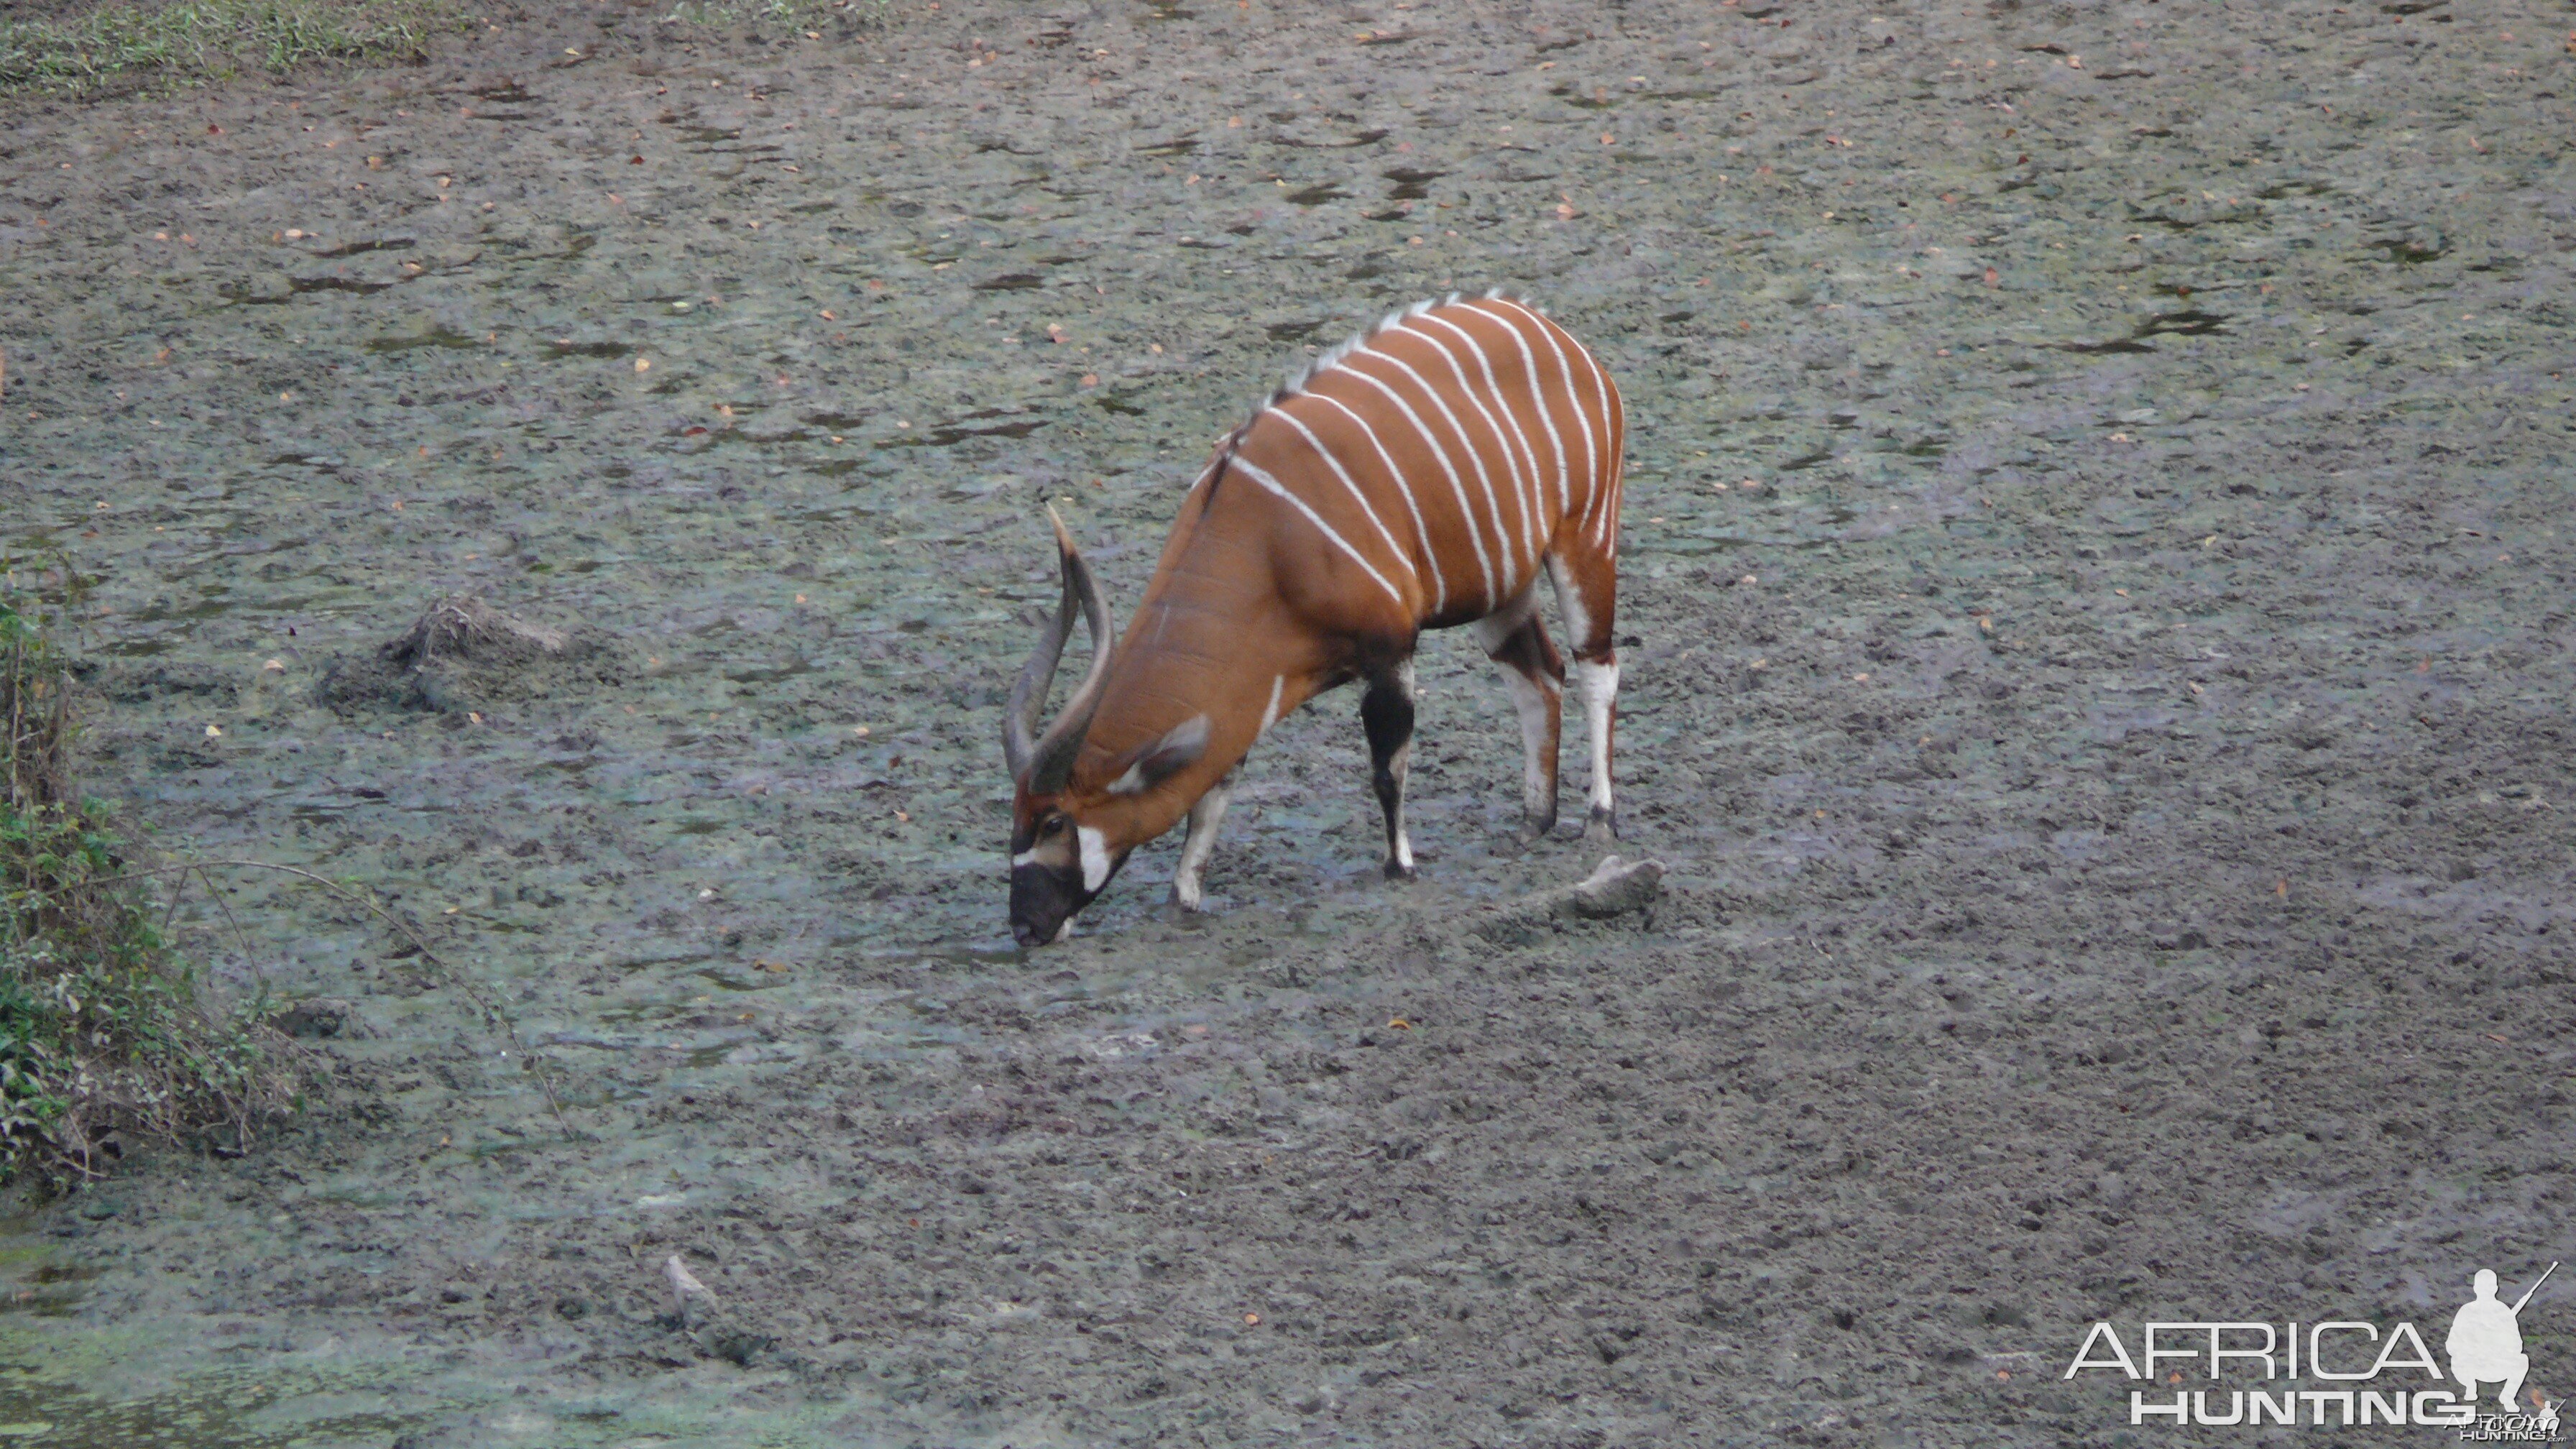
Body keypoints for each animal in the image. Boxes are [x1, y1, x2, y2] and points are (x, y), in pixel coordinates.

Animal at [1004, 295, 1628, 949]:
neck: (1265, 538)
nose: (1024, 927)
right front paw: (1182, 898)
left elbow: (1387, 769)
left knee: (1597, 666)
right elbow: (1213, 792)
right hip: (1499, 587)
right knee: (1540, 676)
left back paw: (1599, 818)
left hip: (1584, 538)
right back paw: (1535, 821)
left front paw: (1400, 867)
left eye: (1054, 821)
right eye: (1014, 820)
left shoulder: (1390, 649)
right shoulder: (1249, 694)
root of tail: (1553, 331)